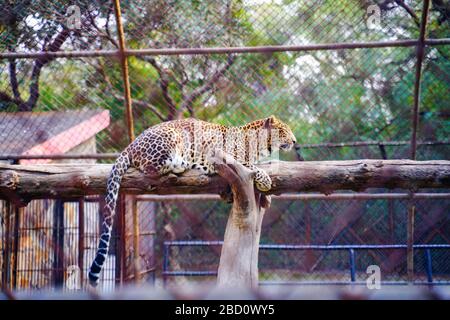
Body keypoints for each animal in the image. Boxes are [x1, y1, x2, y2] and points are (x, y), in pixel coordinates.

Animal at [88, 115, 298, 284]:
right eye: (284, 130)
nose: (295, 141)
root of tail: (130, 145)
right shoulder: (224, 155)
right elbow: (251, 165)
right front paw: (265, 180)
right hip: (172, 137)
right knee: (150, 167)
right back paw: (181, 164)